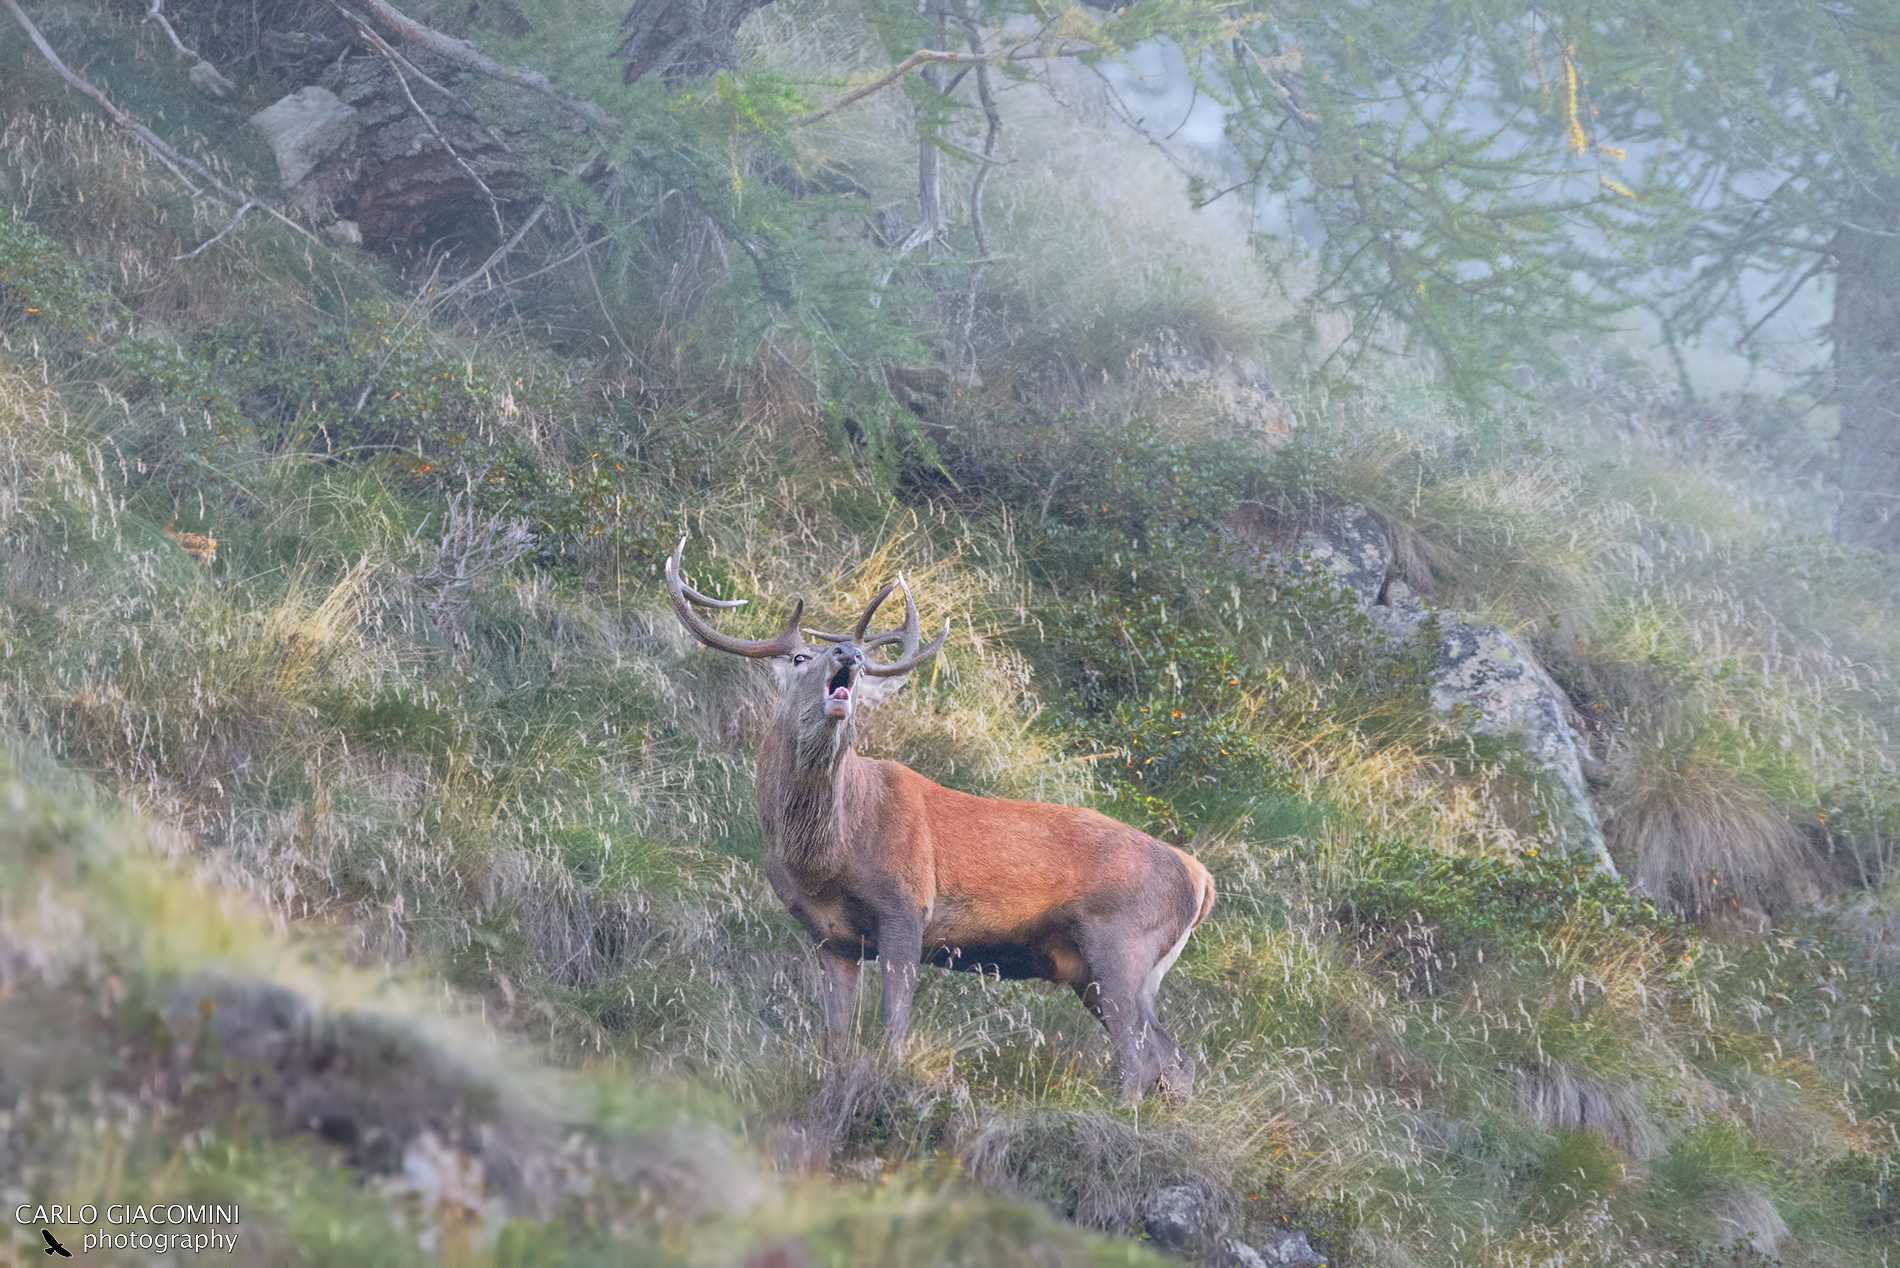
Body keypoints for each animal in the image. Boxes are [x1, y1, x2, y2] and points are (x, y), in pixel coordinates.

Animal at [665, 538, 1216, 1101]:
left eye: (862, 666)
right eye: (800, 656)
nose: (851, 654)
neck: (827, 855)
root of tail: (1201, 878)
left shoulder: (908, 907)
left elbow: (891, 1027)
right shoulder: (829, 938)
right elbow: (834, 1037)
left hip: (1121, 943)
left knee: (1140, 1054)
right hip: (1096, 968)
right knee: (1173, 1056)